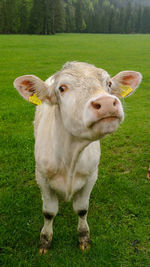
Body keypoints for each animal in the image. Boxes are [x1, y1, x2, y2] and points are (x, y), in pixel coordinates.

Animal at [13, 61, 142, 254]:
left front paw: (83, 237)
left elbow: (82, 209)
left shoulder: (91, 176)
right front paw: (45, 241)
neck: (70, 158)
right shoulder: (41, 177)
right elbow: (49, 212)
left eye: (109, 84)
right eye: (62, 88)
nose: (106, 103)